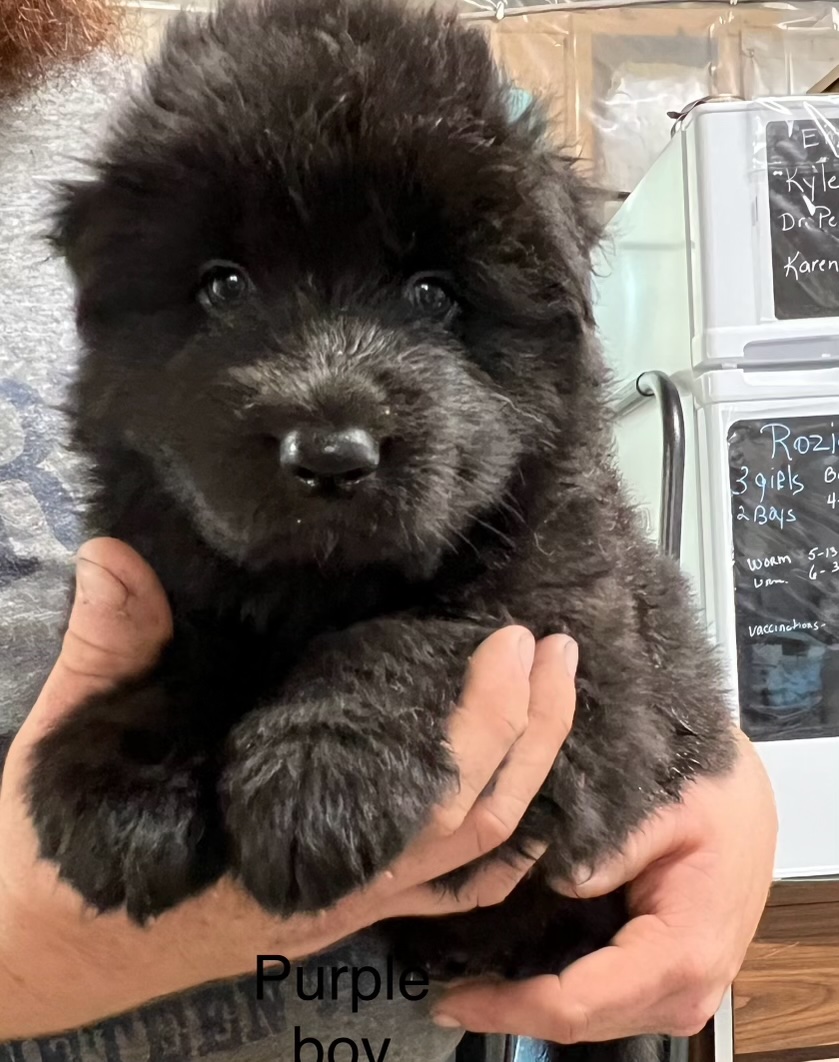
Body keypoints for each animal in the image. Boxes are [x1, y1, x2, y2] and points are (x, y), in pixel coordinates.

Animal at [27, 0, 734, 1045]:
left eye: (433, 293)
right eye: (223, 285)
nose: (331, 455)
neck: (318, 590)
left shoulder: (592, 675)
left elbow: (431, 628)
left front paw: (320, 774)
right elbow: (192, 651)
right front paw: (118, 781)